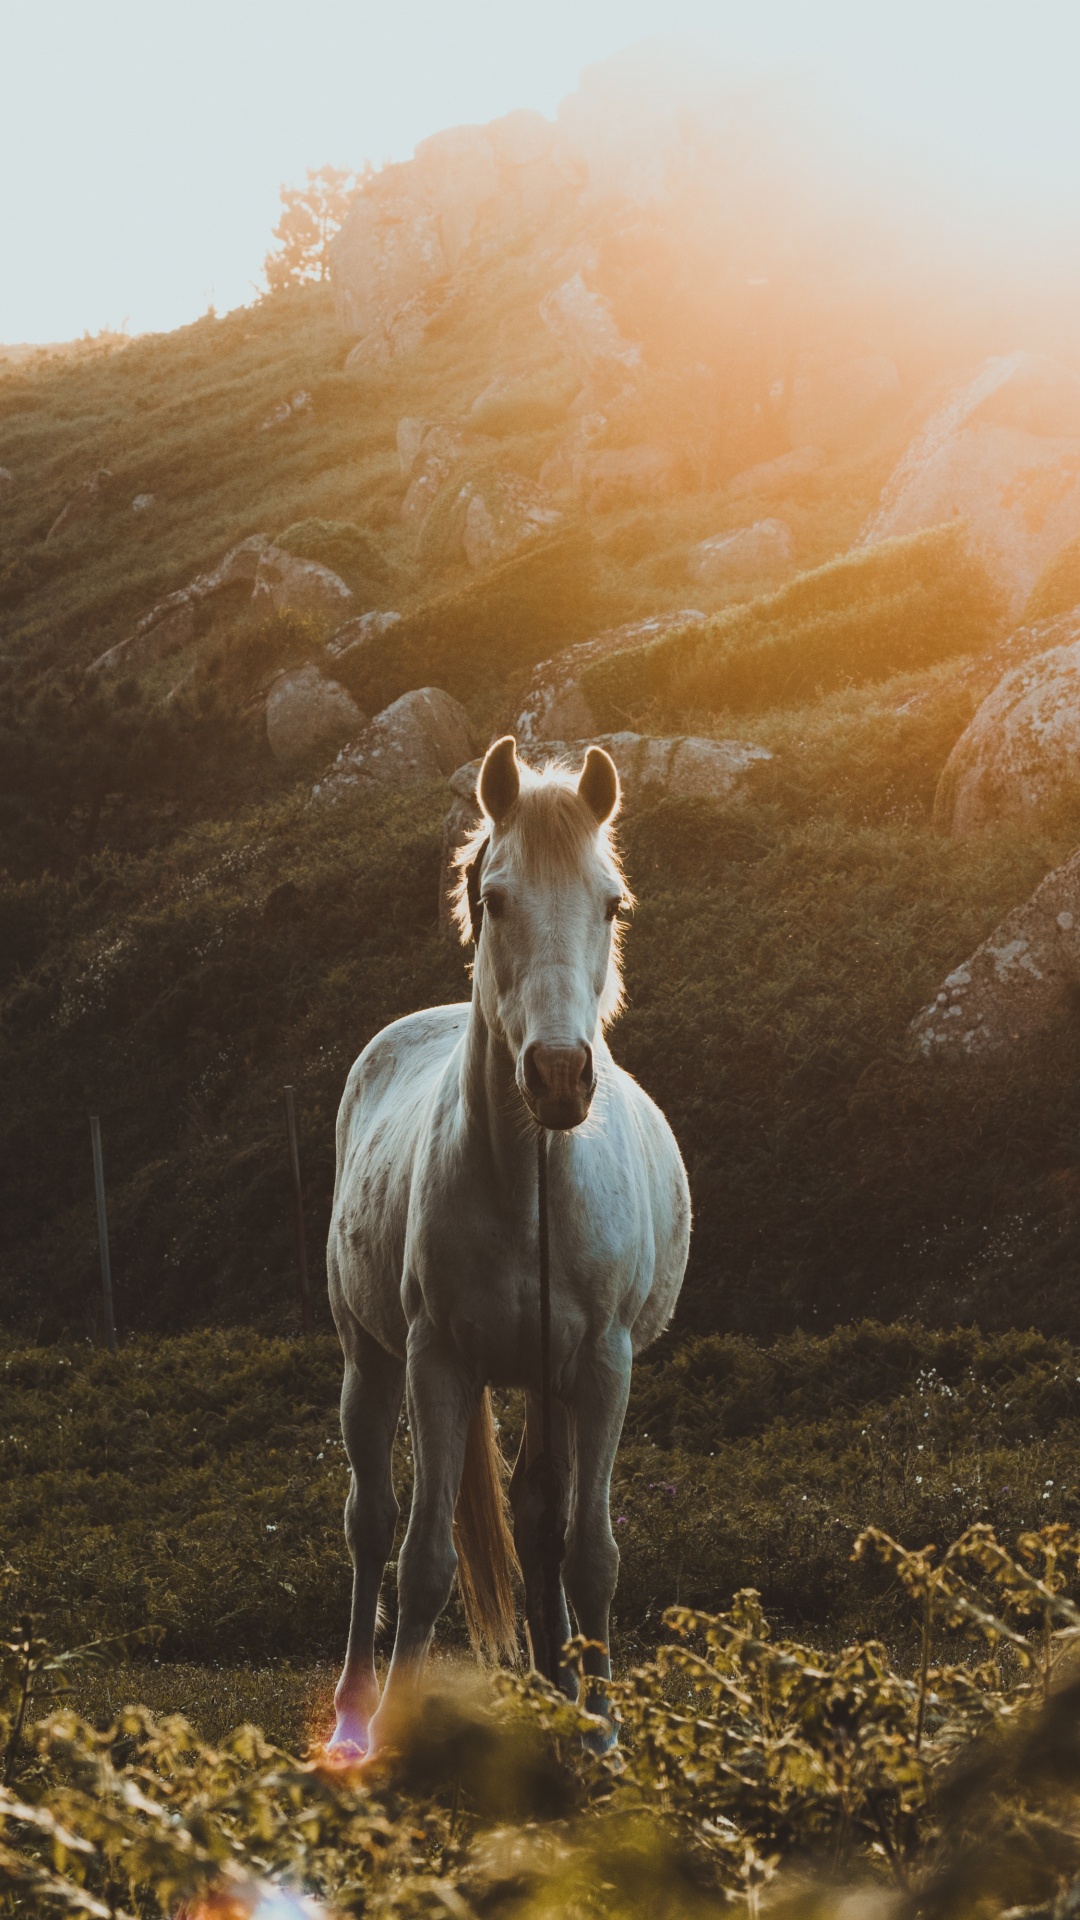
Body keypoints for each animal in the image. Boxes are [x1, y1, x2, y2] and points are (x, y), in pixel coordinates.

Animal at [322, 733, 687, 1758]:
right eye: (495, 899)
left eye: (612, 903)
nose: (560, 1076)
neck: (531, 1185)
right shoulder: (437, 1361)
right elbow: (423, 1559)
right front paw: (396, 1738)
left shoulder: (601, 1367)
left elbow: (589, 1553)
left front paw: (601, 1734)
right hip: (369, 1361)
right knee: (372, 1524)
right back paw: (354, 1714)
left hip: (546, 1381)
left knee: (537, 1522)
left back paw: (559, 1696)